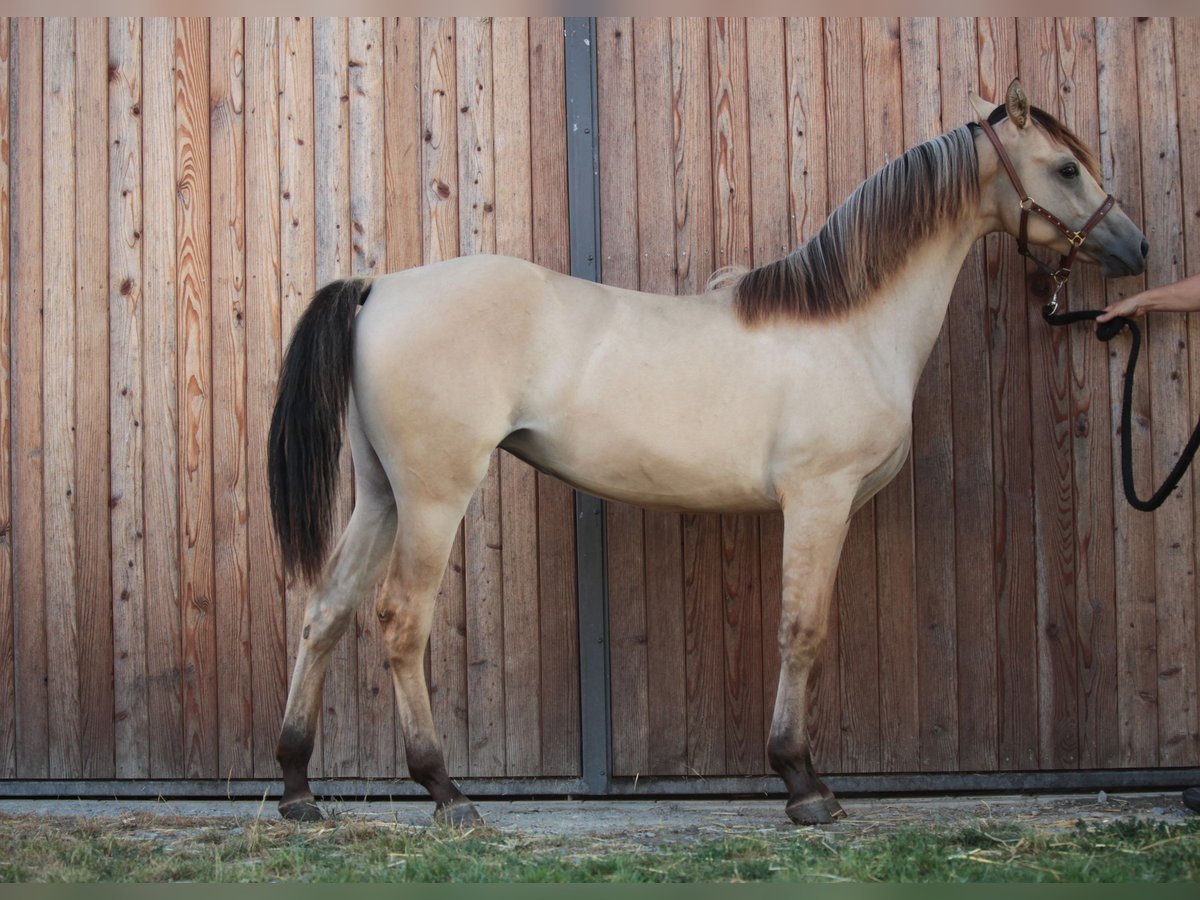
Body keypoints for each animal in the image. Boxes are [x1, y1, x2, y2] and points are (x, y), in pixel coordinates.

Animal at [267, 81, 1147, 830]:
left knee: (325, 611)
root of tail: (380, 285)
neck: (851, 325)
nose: (1135, 245)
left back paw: (299, 790)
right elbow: (803, 630)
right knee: (399, 619)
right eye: (1066, 166)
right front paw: (804, 785)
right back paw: (446, 793)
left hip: (381, 494)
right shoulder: (819, 499)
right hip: (433, 497)